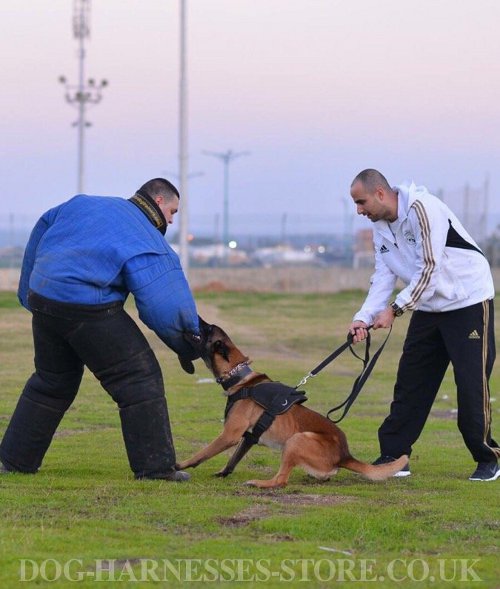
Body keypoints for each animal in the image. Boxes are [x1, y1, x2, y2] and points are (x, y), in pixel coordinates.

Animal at [178, 320, 408, 490]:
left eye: (207, 330)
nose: (192, 321)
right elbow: (233, 459)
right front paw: (223, 473)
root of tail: (344, 456)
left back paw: (258, 483)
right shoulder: (248, 438)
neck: (240, 379)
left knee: (281, 481)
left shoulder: (229, 435)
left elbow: (202, 453)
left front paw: (178, 465)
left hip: (296, 440)